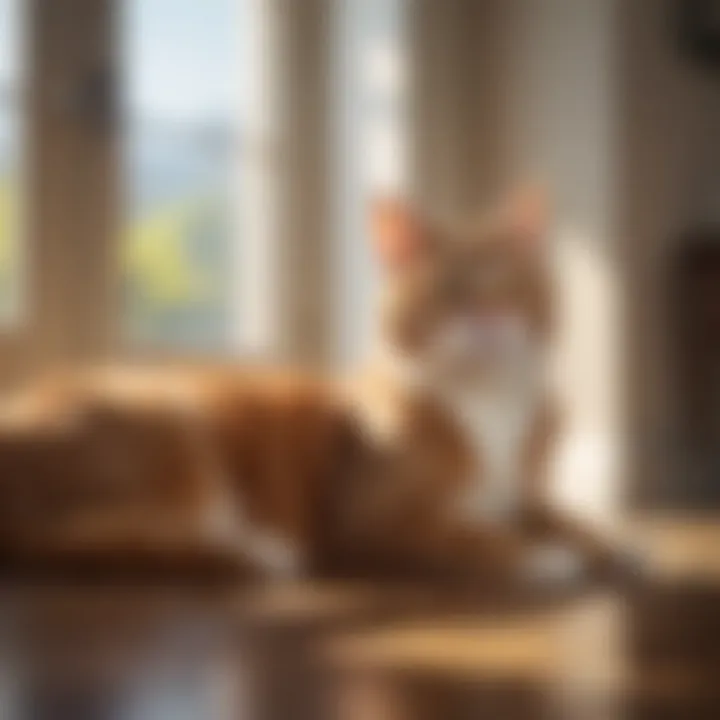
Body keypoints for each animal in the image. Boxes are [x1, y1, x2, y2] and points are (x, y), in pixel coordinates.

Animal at [0, 188, 628, 584]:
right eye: (447, 293)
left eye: (507, 284)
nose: (484, 322)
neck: (488, 403)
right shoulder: (371, 521)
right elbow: (468, 536)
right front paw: (542, 556)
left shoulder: (525, 494)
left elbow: (565, 515)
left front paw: (608, 544)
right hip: (169, 426)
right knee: (122, 537)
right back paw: (253, 550)